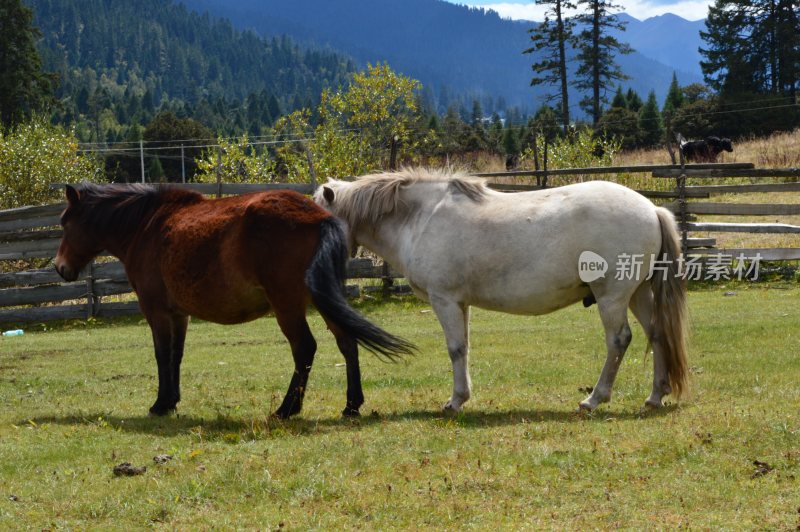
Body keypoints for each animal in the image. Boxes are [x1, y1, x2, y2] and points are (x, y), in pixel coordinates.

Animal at [54, 184, 416, 420]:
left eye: (65, 223)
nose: (60, 267)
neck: (146, 225)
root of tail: (318, 217)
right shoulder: (179, 315)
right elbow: (175, 356)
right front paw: (172, 400)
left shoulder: (156, 311)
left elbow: (161, 355)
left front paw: (161, 404)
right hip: (322, 298)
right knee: (347, 343)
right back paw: (351, 405)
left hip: (287, 305)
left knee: (305, 348)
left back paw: (287, 409)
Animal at [316, 169, 692, 412]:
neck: (420, 217)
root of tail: (651, 208)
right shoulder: (460, 303)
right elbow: (464, 348)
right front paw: (462, 395)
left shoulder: (444, 299)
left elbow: (455, 348)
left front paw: (455, 401)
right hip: (638, 292)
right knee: (657, 333)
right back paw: (655, 396)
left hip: (612, 296)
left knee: (619, 340)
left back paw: (595, 398)